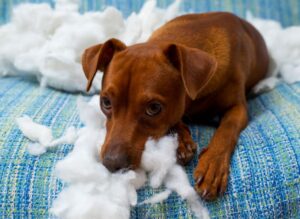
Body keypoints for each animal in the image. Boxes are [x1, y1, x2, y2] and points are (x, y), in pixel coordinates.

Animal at [81, 12, 268, 200]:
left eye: (154, 108)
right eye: (106, 103)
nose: (112, 163)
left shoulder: (238, 108)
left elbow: (227, 129)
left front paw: (212, 165)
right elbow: (176, 119)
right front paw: (181, 141)